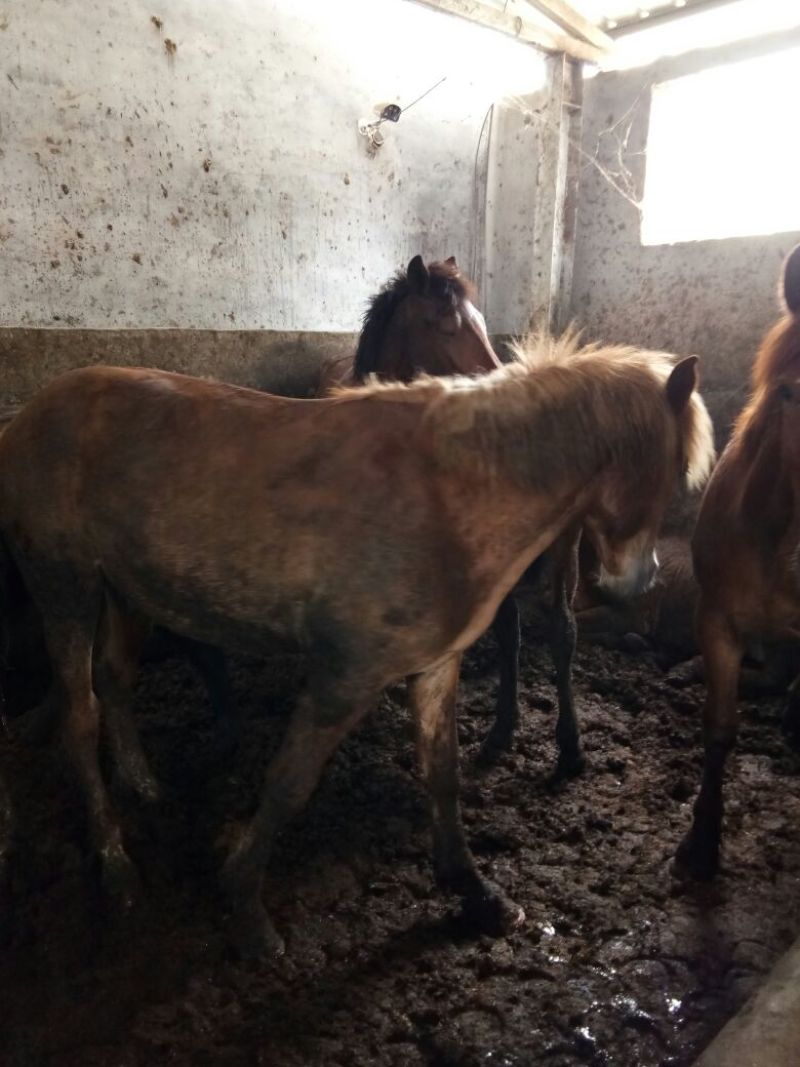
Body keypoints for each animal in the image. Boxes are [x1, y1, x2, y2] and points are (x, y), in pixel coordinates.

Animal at [0, 338, 713, 956]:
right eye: (672, 470)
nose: (639, 582)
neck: (454, 498)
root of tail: (30, 414)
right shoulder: (345, 677)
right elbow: (289, 784)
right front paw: (246, 908)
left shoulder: (434, 667)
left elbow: (443, 777)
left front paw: (477, 896)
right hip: (65, 587)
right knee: (79, 717)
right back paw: (115, 866)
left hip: (124, 594)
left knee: (115, 682)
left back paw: (144, 785)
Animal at [320, 255, 589, 778]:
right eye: (445, 325)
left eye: (483, 323)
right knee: (517, 633)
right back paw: (504, 732)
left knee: (559, 634)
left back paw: (566, 746)